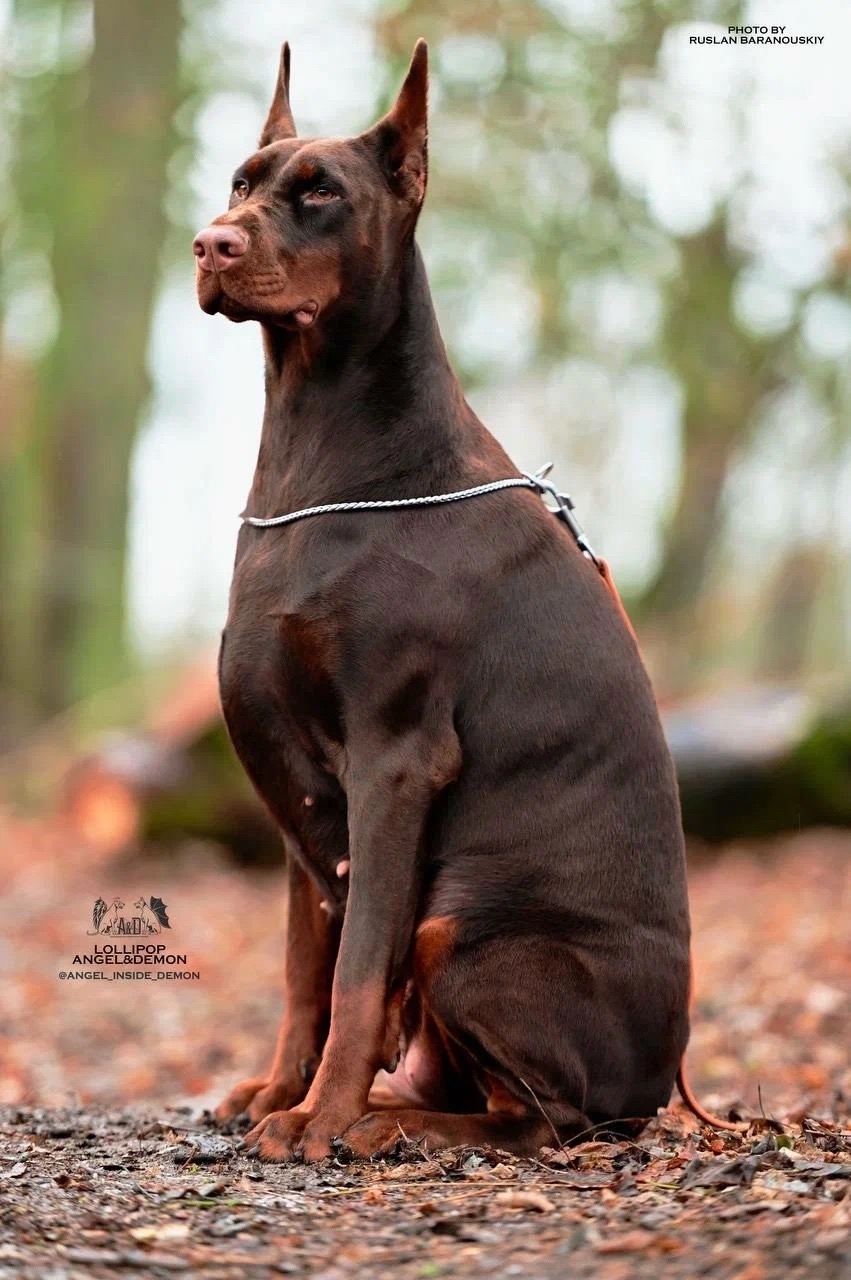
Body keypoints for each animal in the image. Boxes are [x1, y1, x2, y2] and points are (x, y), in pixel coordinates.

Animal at [192, 40, 695, 1162]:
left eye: (320, 192)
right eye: (242, 181)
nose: (210, 243)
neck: (320, 459)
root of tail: (661, 1085)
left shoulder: (394, 757)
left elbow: (354, 965)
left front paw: (318, 1114)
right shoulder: (302, 790)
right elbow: (306, 967)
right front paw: (280, 1088)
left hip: (469, 929)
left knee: (541, 1118)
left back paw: (384, 1124)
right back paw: (387, 1107)